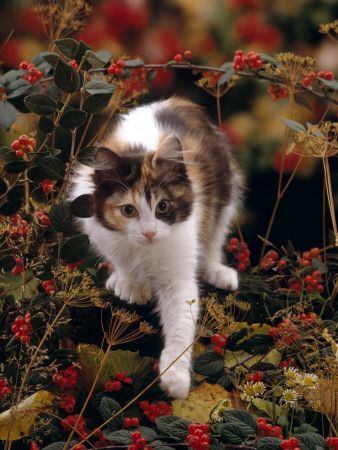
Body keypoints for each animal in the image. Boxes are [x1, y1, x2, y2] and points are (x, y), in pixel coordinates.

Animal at [69, 97, 243, 398]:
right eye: (128, 210)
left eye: (163, 206)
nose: (149, 232)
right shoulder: (100, 230)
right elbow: (122, 262)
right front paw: (128, 283)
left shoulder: (179, 273)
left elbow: (181, 324)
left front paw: (175, 377)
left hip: (225, 190)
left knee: (215, 234)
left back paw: (216, 270)